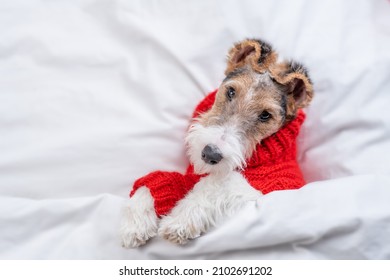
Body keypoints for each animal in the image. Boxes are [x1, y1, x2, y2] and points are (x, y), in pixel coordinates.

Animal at [121, 37, 314, 247]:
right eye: (230, 92)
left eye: (265, 115)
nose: (210, 154)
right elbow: (157, 184)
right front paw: (134, 225)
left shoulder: (269, 191)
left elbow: (219, 182)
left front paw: (180, 221)